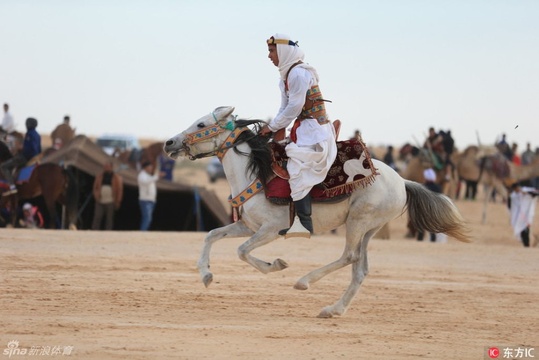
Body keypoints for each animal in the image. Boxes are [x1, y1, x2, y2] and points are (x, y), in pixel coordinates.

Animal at [166, 107, 472, 318]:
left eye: (202, 124)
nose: (169, 143)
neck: (256, 173)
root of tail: (402, 181)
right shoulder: (248, 227)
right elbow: (211, 235)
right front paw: (206, 275)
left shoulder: (270, 230)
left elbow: (241, 251)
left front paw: (276, 265)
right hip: (369, 228)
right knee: (360, 269)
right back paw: (333, 310)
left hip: (358, 221)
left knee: (349, 257)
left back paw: (304, 282)